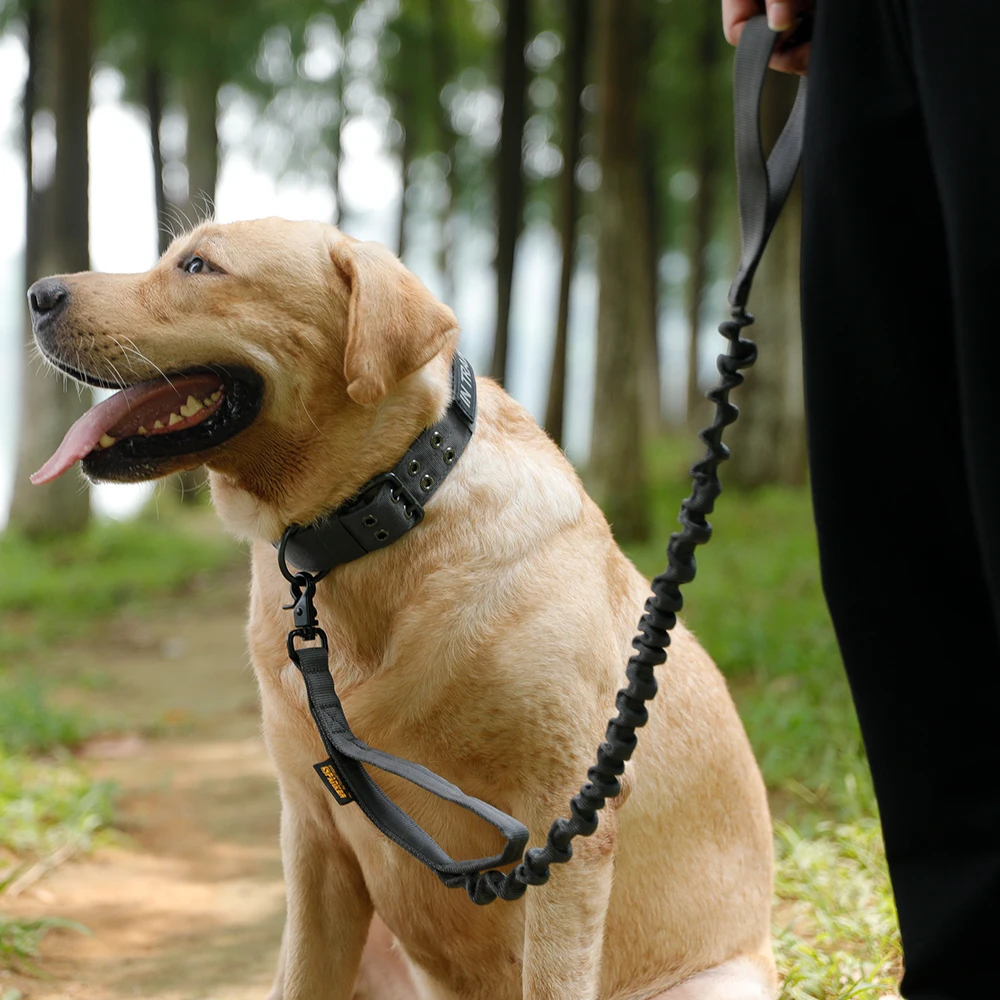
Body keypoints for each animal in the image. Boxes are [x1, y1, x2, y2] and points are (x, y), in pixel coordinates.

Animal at [27, 217, 776, 1000]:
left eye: (200, 266)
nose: (38, 294)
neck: (382, 512)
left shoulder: (566, 823)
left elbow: (552, 974)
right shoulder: (312, 831)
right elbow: (301, 978)